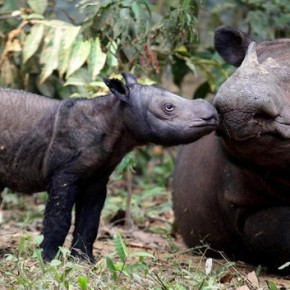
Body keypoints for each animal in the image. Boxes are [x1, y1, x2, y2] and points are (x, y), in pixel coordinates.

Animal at [0, 73, 218, 262]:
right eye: (168, 107)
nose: (213, 115)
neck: (113, 117)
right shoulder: (65, 174)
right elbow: (59, 219)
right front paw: (47, 259)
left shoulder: (97, 178)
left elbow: (90, 221)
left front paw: (84, 261)